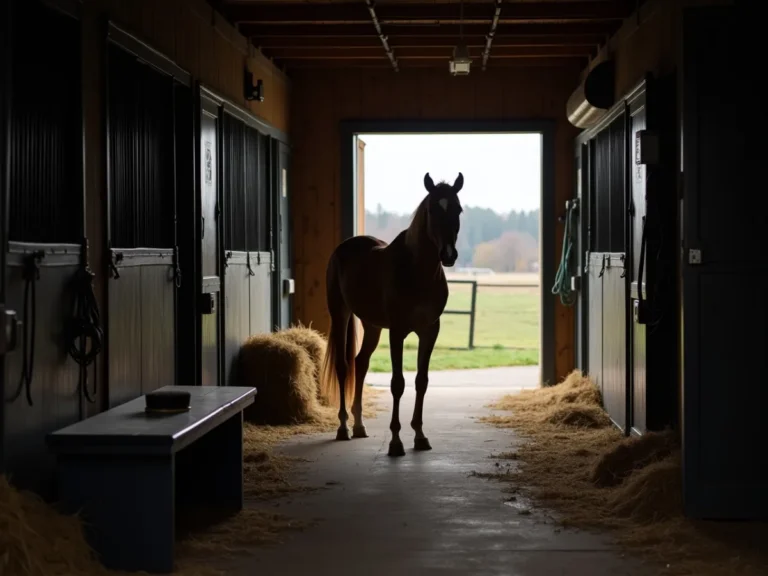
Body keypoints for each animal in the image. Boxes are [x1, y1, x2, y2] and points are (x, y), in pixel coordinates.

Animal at [319, 172, 464, 457]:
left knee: (360, 363)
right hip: (340, 313)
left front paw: (420, 435)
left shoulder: (429, 331)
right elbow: (398, 383)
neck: (417, 271)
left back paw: (359, 425)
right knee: (343, 366)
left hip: (372, 326)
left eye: (458, 210)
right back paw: (343, 427)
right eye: (432, 210)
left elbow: (421, 381)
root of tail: (344, 248)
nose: (448, 255)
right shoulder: (397, 331)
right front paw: (396, 441)